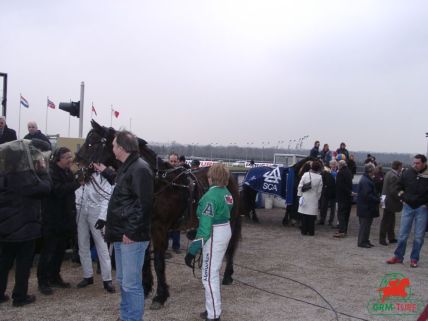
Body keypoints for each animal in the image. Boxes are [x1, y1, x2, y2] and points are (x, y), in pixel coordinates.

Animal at [75, 119, 239, 308]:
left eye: (92, 143)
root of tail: (228, 173)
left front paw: (160, 295)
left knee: (231, 245)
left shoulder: (159, 229)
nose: (78, 170)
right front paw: (146, 288)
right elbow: (145, 259)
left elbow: (159, 262)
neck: (156, 182)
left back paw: (227, 275)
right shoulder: (142, 229)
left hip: (231, 220)